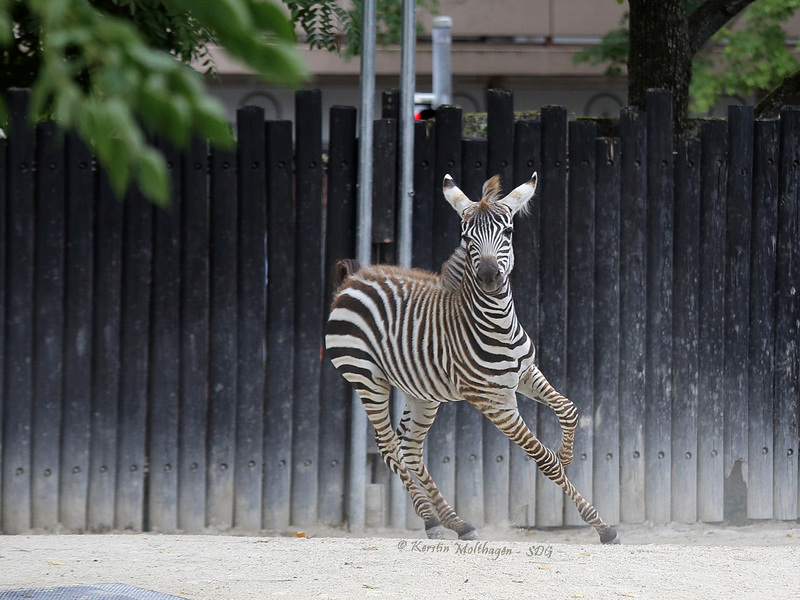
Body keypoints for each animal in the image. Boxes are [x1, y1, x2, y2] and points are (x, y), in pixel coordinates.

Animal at [324, 172, 620, 544]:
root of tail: (353, 279)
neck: (497, 324)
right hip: (366, 378)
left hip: (421, 391)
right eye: (466, 238)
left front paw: (565, 456)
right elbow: (543, 460)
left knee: (409, 446)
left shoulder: (525, 373)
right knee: (389, 445)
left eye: (508, 231)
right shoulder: (493, 401)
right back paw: (433, 519)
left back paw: (451, 522)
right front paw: (601, 526)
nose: (490, 277)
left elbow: (569, 409)